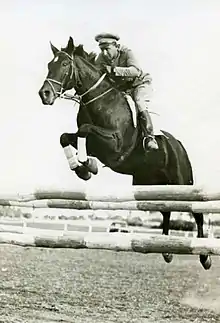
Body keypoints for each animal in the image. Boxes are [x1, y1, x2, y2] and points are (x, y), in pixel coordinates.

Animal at [38, 36, 211, 270]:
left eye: (65, 64)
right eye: (49, 64)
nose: (44, 94)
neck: (99, 101)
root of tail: (179, 144)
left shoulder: (115, 144)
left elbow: (86, 131)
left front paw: (88, 165)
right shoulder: (87, 140)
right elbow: (66, 137)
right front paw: (82, 168)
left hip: (183, 182)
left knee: (196, 212)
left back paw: (205, 256)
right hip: (151, 184)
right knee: (166, 209)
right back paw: (166, 250)